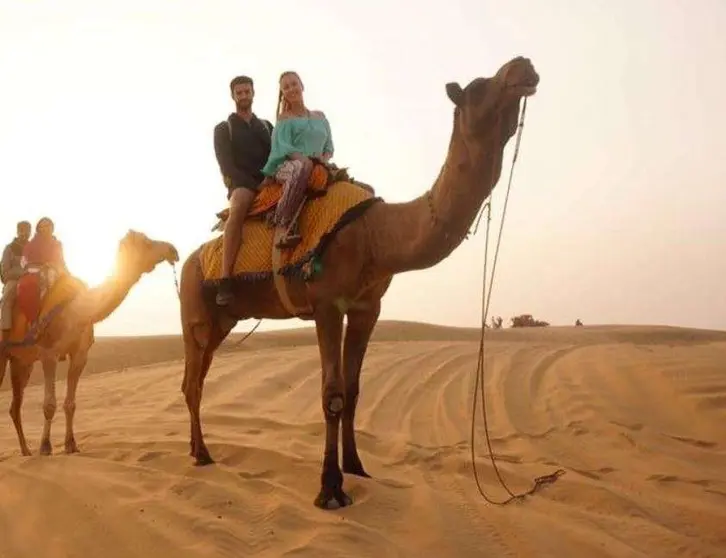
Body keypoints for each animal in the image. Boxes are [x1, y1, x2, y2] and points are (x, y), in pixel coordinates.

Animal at [0, 232, 180, 460]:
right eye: (147, 243)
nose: (172, 250)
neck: (77, 311)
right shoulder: (49, 352)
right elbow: (49, 405)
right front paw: (45, 447)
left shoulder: (80, 354)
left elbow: (70, 404)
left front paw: (71, 445)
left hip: (22, 362)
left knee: (15, 406)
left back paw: (25, 450)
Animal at [181, 57, 540, 512]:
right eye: (478, 86)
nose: (522, 66)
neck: (377, 235)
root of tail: (191, 259)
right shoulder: (327, 304)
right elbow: (331, 394)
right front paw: (330, 489)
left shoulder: (367, 307)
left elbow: (352, 391)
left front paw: (355, 467)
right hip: (195, 311)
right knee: (192, 381)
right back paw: (202, 454)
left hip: (222, 321)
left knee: (195, 380)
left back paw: (199, 450)